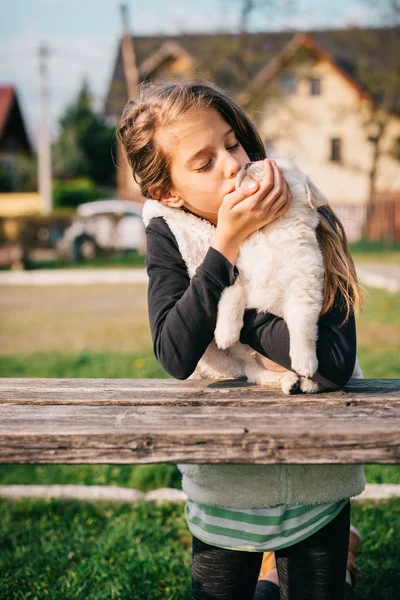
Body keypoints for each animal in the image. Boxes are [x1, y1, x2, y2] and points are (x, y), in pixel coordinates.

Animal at [216, 157, 362, 396]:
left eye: (273, 163)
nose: (245, 165)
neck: (272, 231)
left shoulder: (302, 289)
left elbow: (302, 327)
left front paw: (305, 362)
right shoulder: (240, 279)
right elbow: (231, 300)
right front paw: (224, 335)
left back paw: (306, 381)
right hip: (253, 366)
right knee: (265, 376)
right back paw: (290, 381)